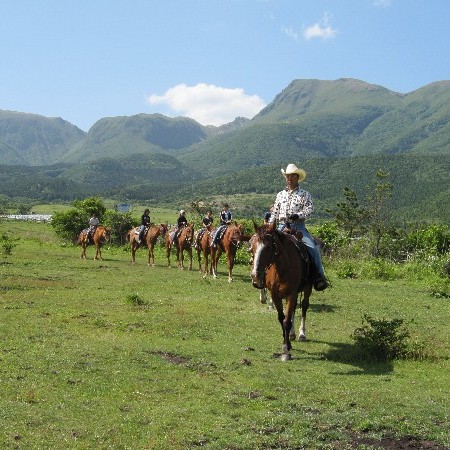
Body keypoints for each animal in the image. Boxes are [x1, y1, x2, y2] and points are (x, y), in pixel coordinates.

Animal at [250, 222, 312, 362]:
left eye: (268, 247)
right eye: (253, 247)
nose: (256, 275)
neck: (282, 268)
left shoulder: (291, 294)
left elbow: (287, 321)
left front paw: (285, 351)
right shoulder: (275, 295)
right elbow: (281, 319)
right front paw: (286, 343)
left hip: (307, 289)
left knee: (304, 307)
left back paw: (302, 334)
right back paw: (292, 335)